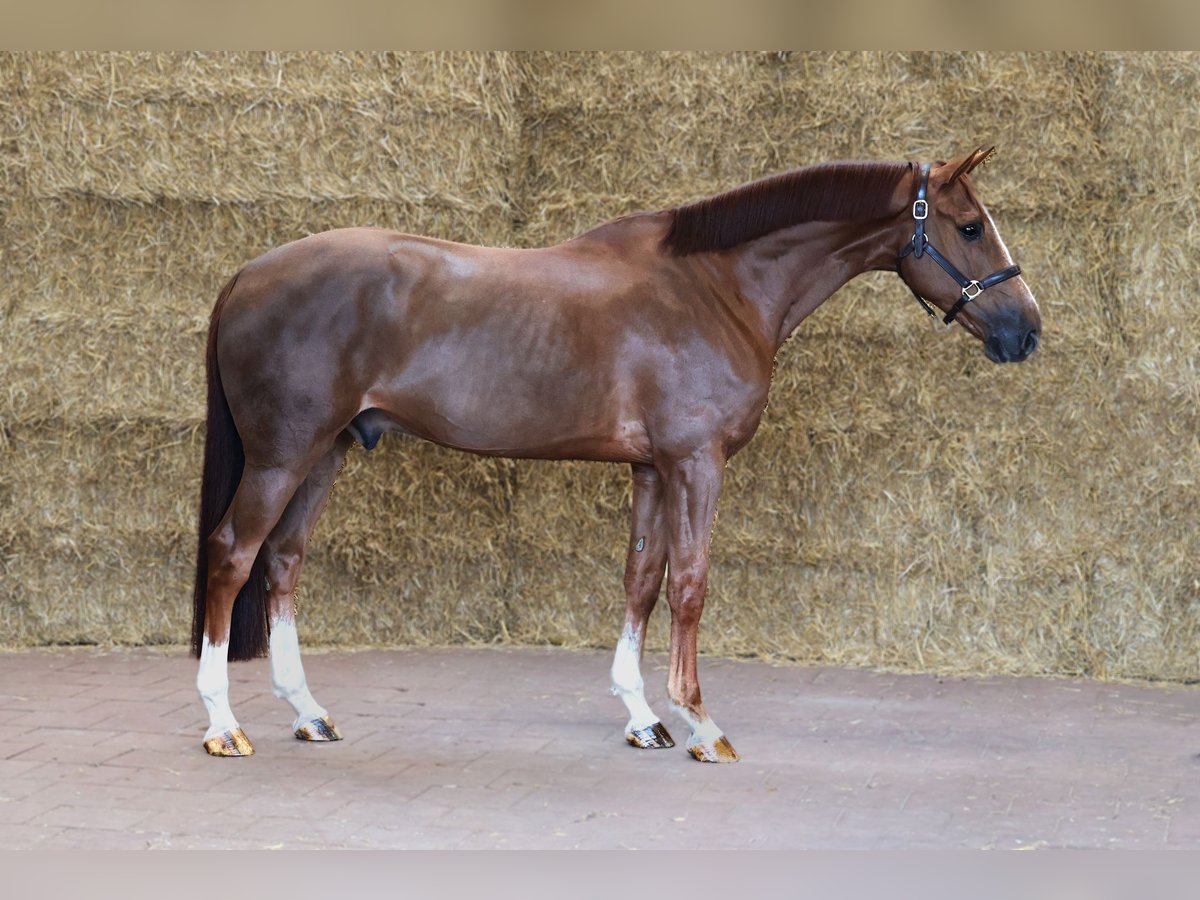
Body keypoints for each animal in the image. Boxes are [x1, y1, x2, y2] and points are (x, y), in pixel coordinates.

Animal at [192, 146, 1036, 763]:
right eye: (969, 226)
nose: (1025, 330)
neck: (715, 288)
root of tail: (243, 276)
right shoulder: (696, 462)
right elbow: (690, 585)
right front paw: (700, 724)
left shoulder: (652, 468)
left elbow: (641, 580)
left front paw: (641, 716)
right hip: (284, 455)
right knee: (234, 554)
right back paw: (222, 725)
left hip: (328, 451)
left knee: (284, 561)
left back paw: (309, 713)